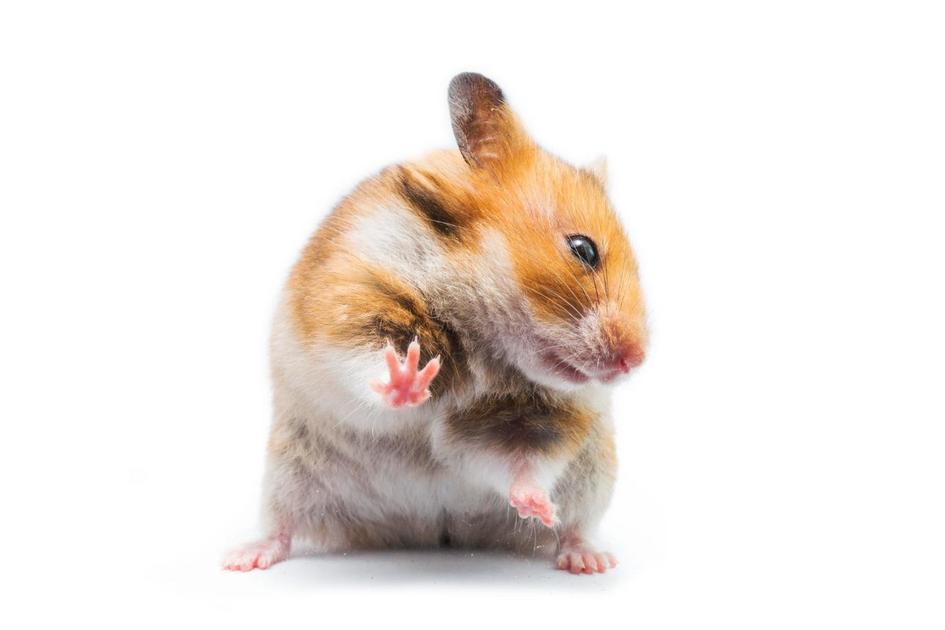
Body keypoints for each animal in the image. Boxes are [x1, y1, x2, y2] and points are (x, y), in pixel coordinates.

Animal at [223, 73, 648, 575]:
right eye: (583, 249)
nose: (637, 359)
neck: (488, 345)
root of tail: (432, 528)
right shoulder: (352, 304)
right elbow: (366, 366)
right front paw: (409, 379)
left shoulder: (522, 424)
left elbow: (519, 463)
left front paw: (540, 507)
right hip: (287, 473)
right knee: (281, 525)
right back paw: (242, 558)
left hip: (593, 477)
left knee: (576, 527)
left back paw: (588, 559)